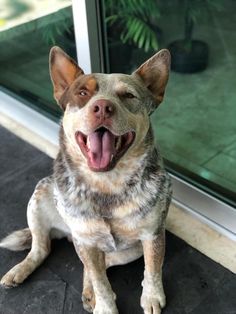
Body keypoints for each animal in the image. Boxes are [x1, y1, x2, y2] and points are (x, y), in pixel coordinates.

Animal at [0, 46, 172, 314]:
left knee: (102, 262)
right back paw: (19, 271)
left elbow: (152, 270)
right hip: (40, 197)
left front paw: (152, 296)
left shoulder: (152, 235)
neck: (107, 185)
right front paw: (105, 306)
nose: (102, 107)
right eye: (82, 93)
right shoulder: (85, 242)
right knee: (43, 249)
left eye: (128, 95)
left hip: (128, 250)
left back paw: (88, 292)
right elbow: (101, 282)